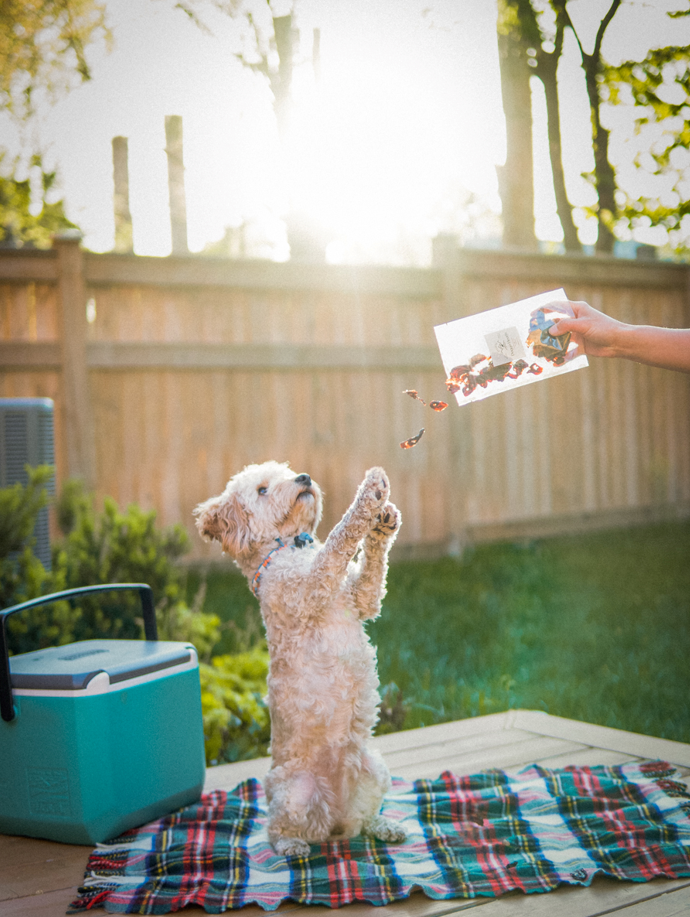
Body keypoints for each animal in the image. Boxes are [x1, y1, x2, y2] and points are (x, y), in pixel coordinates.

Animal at [194, 462, 404, 856]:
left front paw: (383, 522)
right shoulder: (309, 587)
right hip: (292, 791)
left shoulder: (362, 598)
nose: (304, 478)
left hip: (374, 769)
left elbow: (372, 573)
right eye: (262, 489)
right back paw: (291, 847)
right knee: (275, 829)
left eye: (286, 471)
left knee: (362, 821)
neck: (290, 546)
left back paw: (383, 826)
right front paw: (367, 497)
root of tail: (332, 820)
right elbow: (340, 538)